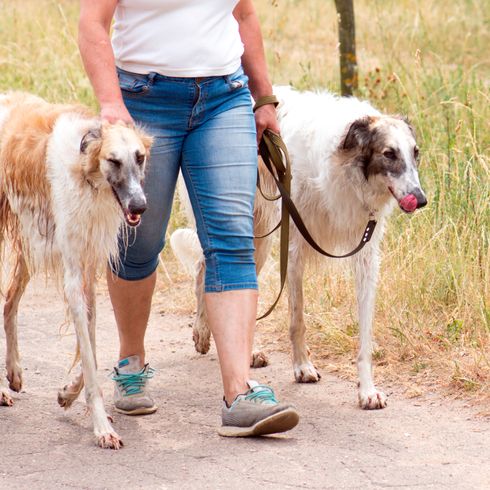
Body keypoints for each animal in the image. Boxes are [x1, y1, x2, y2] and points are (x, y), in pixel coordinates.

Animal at [0, 92, 151, 448]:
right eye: (114, 161)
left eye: (139, 157)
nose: (139, 207)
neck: (87, 174)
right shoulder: (73, 275)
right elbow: (90, 360)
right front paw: (102, 427)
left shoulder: (88, 270)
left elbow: (90, 351)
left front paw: (68, 394)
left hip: (31, 241)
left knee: (9, 302)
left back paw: (14, 372)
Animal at [170, 87, 426, 410]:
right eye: (389, 153)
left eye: (415, 153)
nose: (421, 199)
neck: (345, 167)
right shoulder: (293, 249)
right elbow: (297, 319)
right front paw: (302, 367)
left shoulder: (366, 256)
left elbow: (365, 334)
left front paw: (367, 390)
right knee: (204, 267)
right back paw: (203, 332)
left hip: (259, 238)